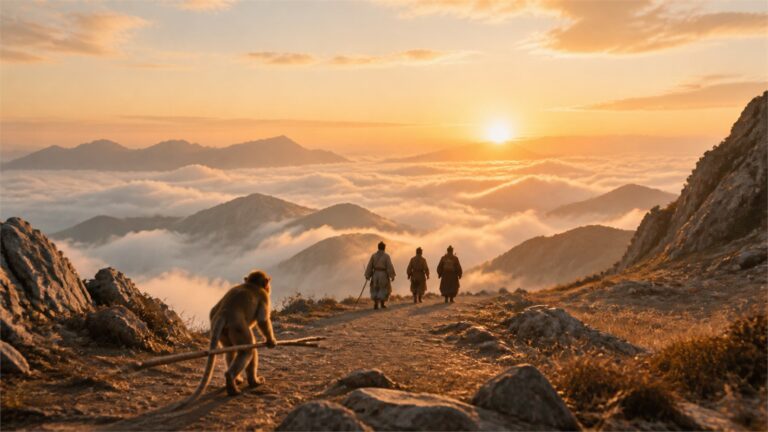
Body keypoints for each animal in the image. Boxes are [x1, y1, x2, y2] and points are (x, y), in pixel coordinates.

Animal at [181, 270, 277, 406]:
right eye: (266, 285)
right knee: (247, 350)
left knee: (230, 350)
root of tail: (224, 313)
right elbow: (262, 320)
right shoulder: (264, 297)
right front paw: (270, 340)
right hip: (237, 327)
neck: (251, 285)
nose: (268, 288)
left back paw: (236, 380)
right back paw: (244, 381)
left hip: (223, 331)